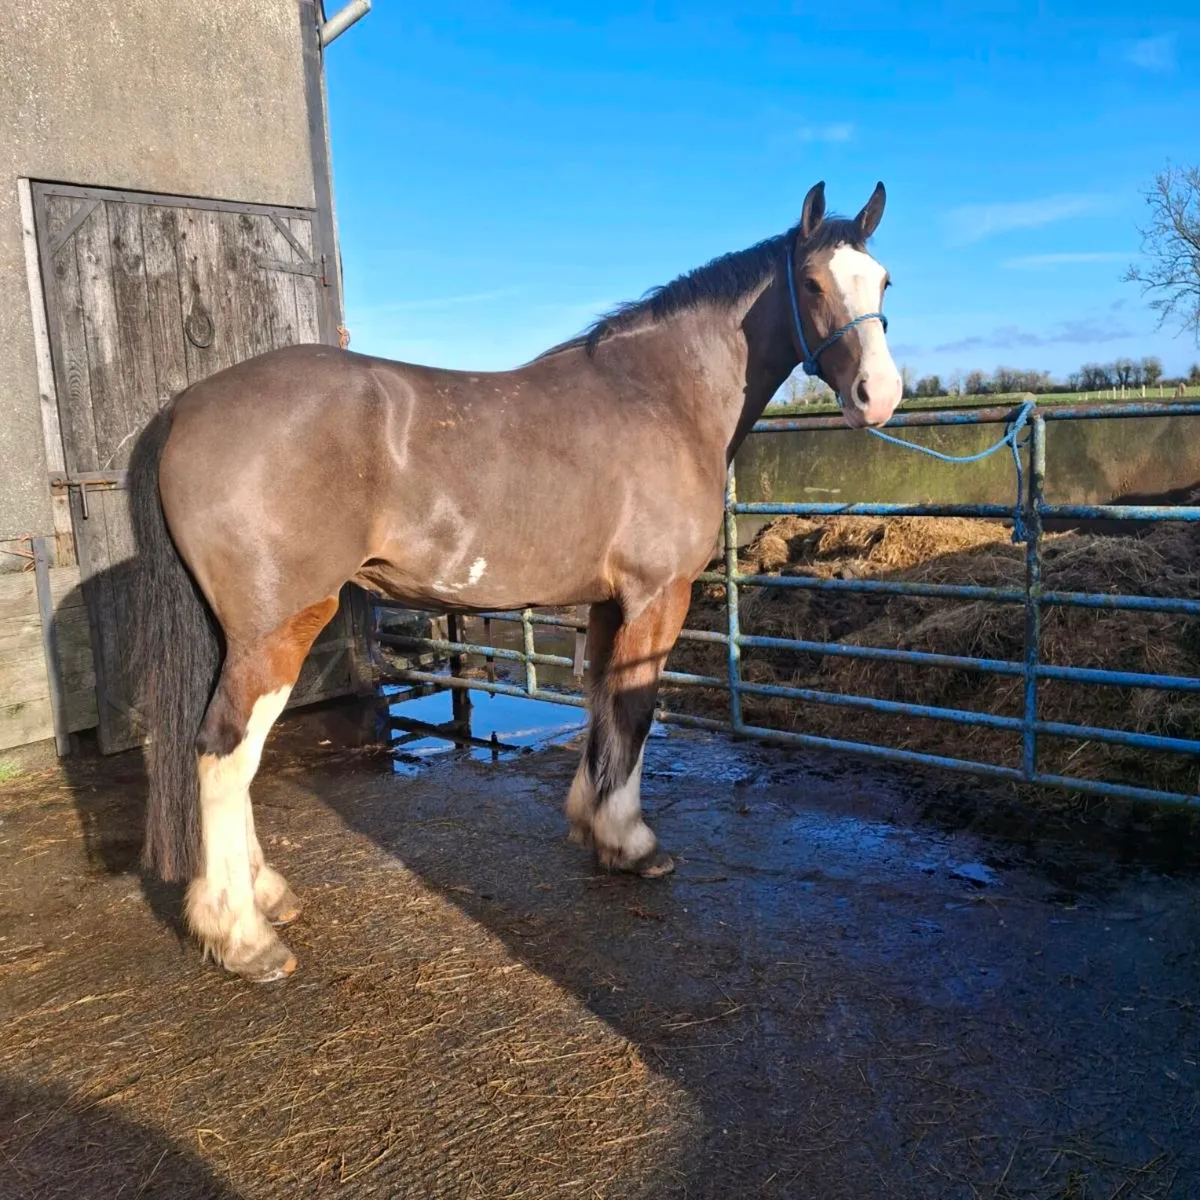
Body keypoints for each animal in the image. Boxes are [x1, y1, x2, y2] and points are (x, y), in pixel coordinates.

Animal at [129, 180, 902, 981]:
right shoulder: (659, 595)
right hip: (276, 629)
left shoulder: (608, 603)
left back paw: (265, 895)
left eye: (883, 283)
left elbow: (601, 703)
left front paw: (595, 828)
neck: (660, 395)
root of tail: (182, 407)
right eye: (811, 283)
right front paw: (634, 846)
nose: (879, 395)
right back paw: (243, 936)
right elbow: (636, 710)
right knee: (224, 752)